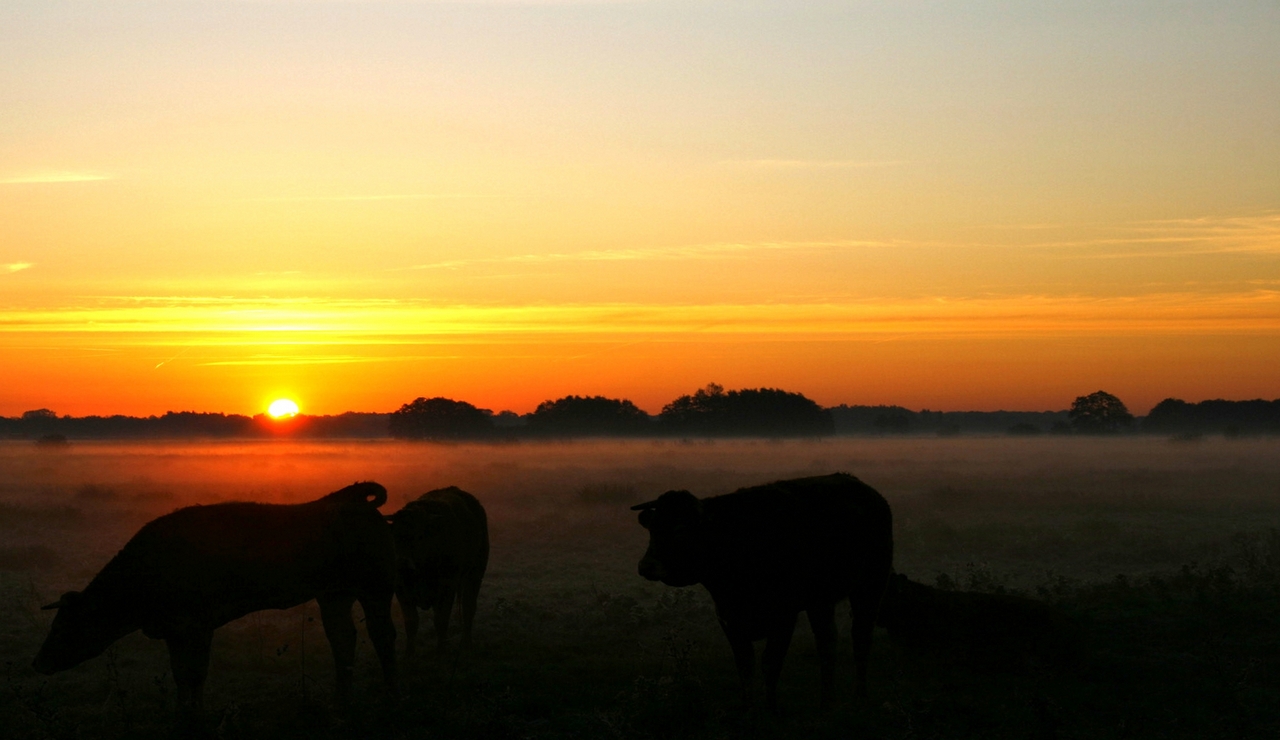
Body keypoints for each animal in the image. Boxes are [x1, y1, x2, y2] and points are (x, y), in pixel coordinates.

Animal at [32, 478, 396, 716]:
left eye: (63, 626)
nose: (38, 662)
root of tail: (350, 500)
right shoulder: (174, 631)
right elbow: (181, 675)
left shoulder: (196, 626)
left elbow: (194, 674)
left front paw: (194, 720)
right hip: (334, 596)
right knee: (342, 639)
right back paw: (341, 703)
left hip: (375, 589)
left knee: (383, 636)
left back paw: (390, 697)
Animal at [386, 486, 486, 652]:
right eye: (394, 535)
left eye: (420, 536)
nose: (402, 562)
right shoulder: (401, 589)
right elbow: (411, 623)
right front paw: (409, 653)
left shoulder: (447, 588)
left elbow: (441, 621)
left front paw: (441, 651)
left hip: (475, 574)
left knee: (469, 608)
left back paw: (466, 644)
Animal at [629, 471, 890, 706]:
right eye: (652, 528)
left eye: (680, 530)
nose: (646, 565)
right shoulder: (728, 618)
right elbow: (745, 665)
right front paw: (748, 706)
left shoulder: (784, 617)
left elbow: (770, 663)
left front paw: (770, 707)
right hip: (820, 602)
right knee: (827, 642)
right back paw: (827, 698)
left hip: (870, 586)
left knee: (860, 637)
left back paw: (860, 694)